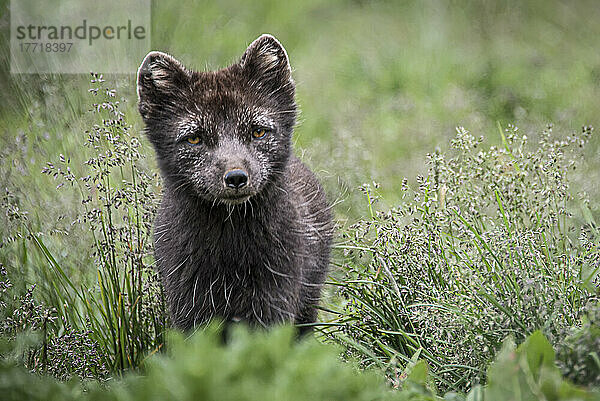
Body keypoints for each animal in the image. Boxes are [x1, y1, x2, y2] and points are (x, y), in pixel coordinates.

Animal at [136, 34, 332, 332]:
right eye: (194, 138)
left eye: (258, 131)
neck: (231, 250)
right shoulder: (188, 305)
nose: (236, 177)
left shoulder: (274, 300)